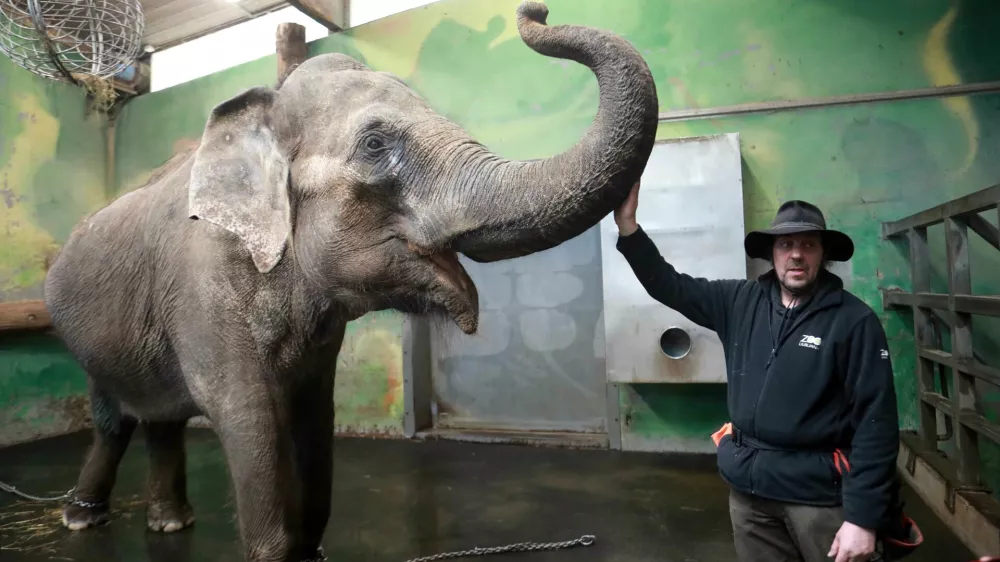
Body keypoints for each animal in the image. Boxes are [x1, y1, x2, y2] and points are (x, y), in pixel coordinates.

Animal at [43, 2, 660, 556]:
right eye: (374, 145)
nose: (538, 11)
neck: (261, 118)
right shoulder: (202, 286)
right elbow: (246, 417)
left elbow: (317, 414)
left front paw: (310, 549)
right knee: (112, 417)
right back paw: (82, 519)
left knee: (160, 417)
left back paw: (170, 523)